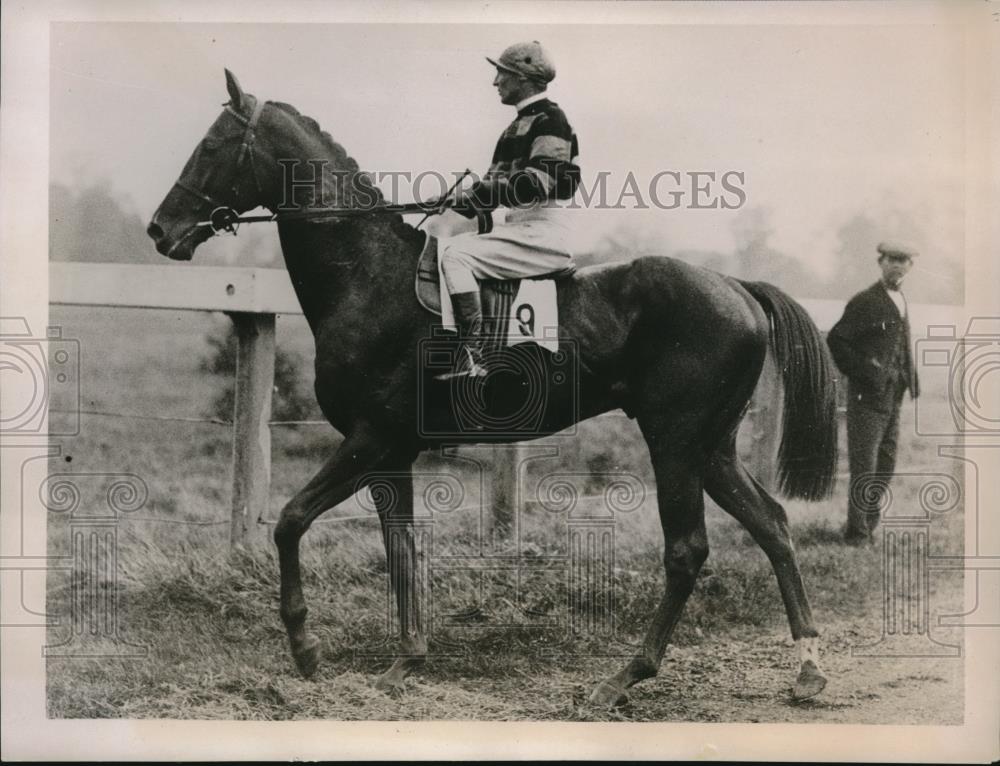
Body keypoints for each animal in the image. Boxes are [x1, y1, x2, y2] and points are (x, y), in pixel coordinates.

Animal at [146, 70, 836, 708]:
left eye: (212, 146)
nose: (159, 229)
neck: (370, 279)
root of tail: (736, 286)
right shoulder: (392, 454)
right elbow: (402, 549)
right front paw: (406, 659)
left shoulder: (371, 439)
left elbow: (290, 521)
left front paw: (306, 648)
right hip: (712, 447)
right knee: (772, 525)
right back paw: (806, 668)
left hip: (676, 443)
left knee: (687, 550)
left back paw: (625, 676)